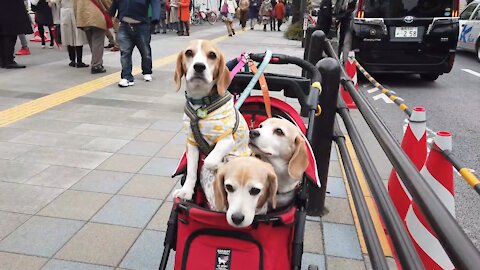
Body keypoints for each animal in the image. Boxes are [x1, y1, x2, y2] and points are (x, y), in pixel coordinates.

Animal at [174, 40, 253, 210]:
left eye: (212, 55)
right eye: (189, 53)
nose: (199, 66)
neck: (201, 105)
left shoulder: (226, 141)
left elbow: (210, 160)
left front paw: (218, 165)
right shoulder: (191, 144)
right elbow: (191, 171)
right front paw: (186, 192)